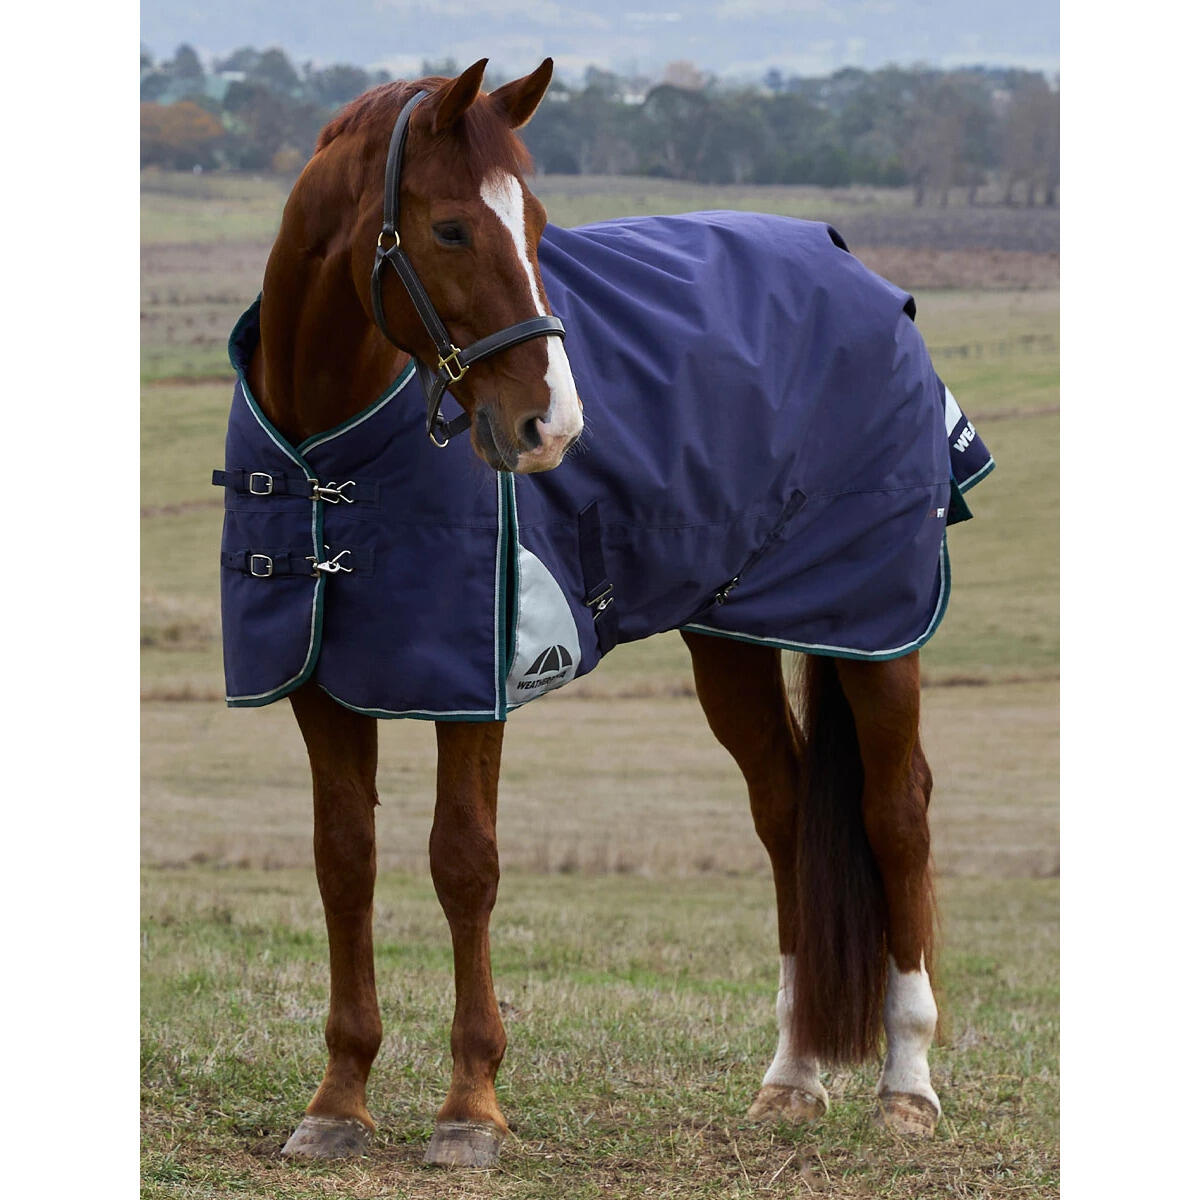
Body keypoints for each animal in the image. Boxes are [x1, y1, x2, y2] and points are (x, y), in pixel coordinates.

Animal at [215, 57, 989, 1168]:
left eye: (538, 224)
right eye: (451, 228)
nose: (551, 424)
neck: (332, 452)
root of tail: (859, 273)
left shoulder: (477, 682)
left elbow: (464, 863)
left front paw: (470, 1108)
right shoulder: (321, 686)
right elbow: (343, 864)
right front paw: (338, 1101)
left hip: (875, 627)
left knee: (897, 815)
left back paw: (908, 1084)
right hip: (730, 640)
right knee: (788, 811)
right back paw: (793, 1073)